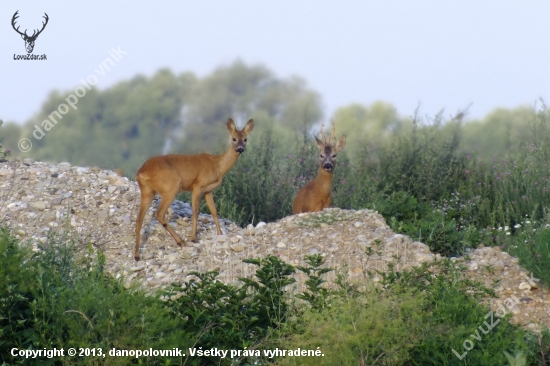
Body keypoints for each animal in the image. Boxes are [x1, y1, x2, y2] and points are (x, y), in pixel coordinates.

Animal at [135, 118, 256, 260]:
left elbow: (214, 211)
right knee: (159, 214)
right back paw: (181, 242)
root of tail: (141, 173)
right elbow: (195, 211)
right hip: (171, 186)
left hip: (147, 191)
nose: (240, 149)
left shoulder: (208, 190)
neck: (217, 166)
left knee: (139, 218)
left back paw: (136, 255)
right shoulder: (197, 186)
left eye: (246, 139)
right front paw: (194, 238)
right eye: (234, 138)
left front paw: (220, 234)